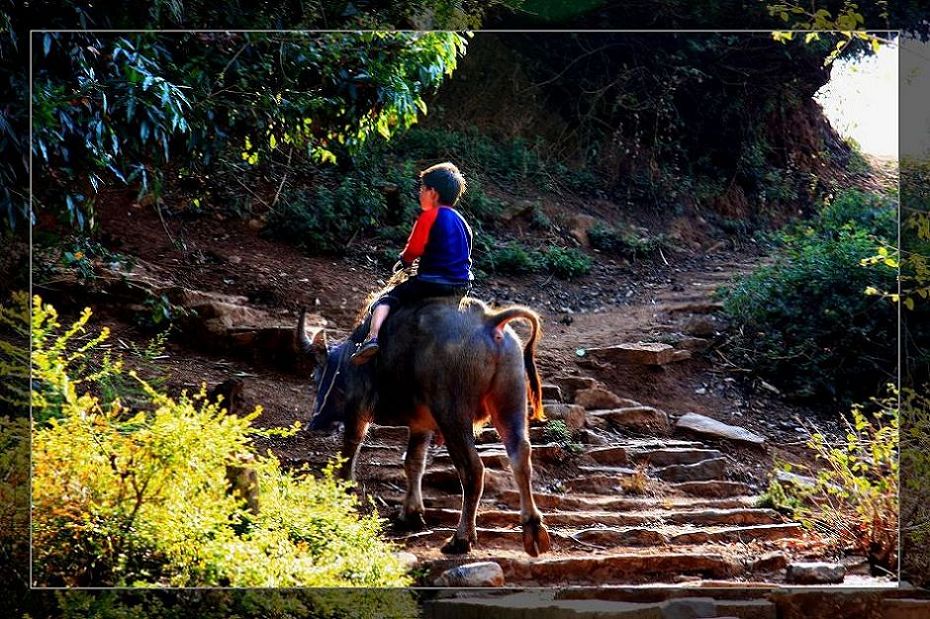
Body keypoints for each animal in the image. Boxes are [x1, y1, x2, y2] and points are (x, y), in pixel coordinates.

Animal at [298, 296, 548, 556]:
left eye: (315, 377)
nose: (316, 424)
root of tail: (490, 322)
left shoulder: (357, 409)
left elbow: (350, 449)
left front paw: (343, 488)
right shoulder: (421, 425)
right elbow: (413, 462)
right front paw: (411, 513)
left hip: (453, 413)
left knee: (472, 469)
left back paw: (461, 539)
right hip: (511, 401)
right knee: (520, 455)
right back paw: (533, 529)